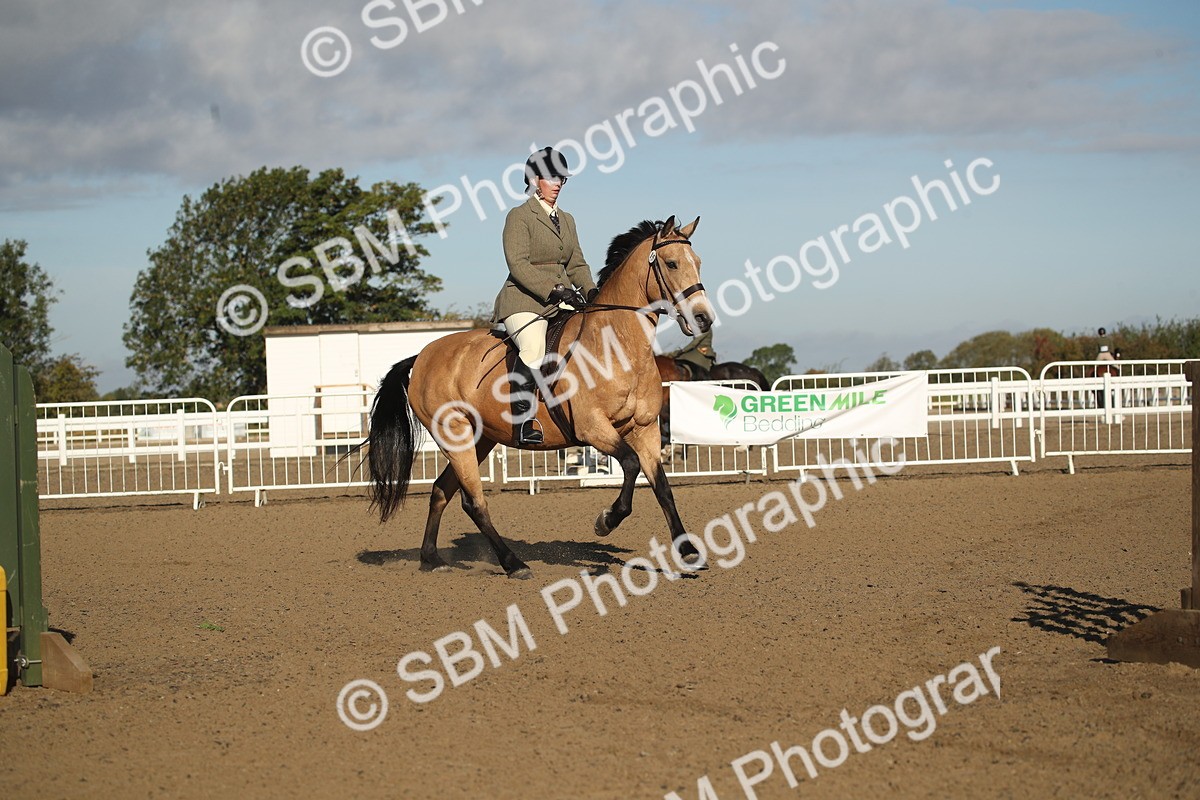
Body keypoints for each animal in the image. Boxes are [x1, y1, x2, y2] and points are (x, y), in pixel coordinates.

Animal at [353, 216, 716, 579]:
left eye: (699, 263)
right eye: (671, 263)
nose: (703, 318)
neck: (618, 347)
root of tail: (422, 356)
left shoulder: (645, 430)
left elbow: (663, 488)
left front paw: (688, 552)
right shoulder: (593, 428)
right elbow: (629, 464)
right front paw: (605, 521)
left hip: (480, 438)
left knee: (442, 489)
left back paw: (431, 558)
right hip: (454, 437)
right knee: (473, 501)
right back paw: (514, 564)